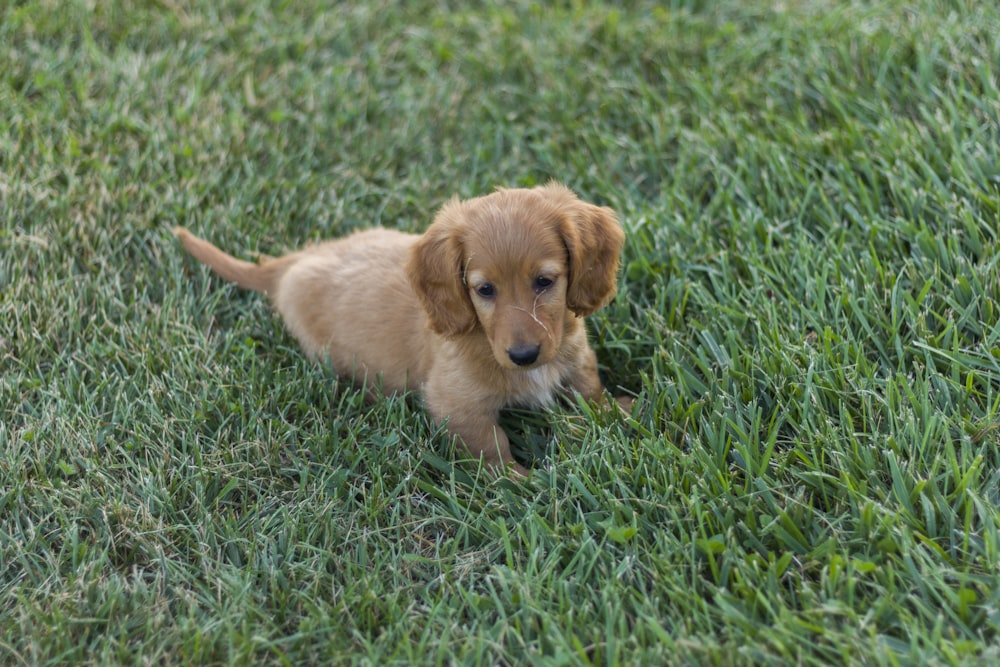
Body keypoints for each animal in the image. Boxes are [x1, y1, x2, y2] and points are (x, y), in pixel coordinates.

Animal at [172, 183, 624, 474]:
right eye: (484, 290)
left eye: (545, 281)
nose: (525, 356)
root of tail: (290, 264)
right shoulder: (455, 405)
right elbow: (491, 447)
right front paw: (522, 483)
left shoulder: (577, 359)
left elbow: (591, 392)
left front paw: (621, 412)